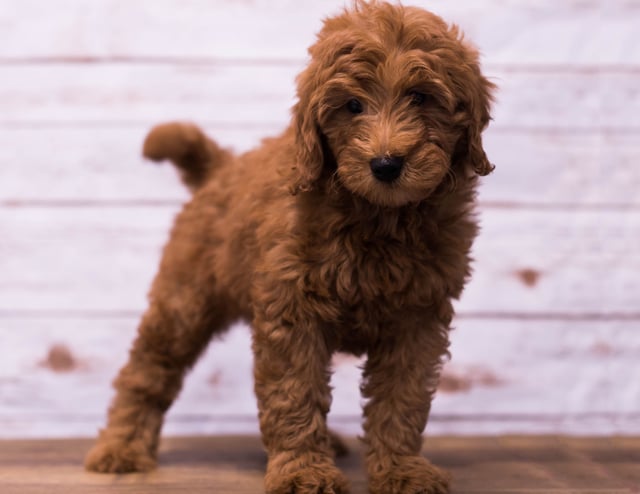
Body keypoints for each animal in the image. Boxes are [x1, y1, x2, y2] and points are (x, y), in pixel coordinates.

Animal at [85, 1, 496, 492]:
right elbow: (295, 392)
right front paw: (303, 470)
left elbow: (403, 398)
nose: (385, 164)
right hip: (185, 299)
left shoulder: (417, 318)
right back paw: (122, 447)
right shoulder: (293, 311)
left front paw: (401, 469)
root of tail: (220, 168)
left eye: (420, 97)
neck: (378, 216)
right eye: (352, 106)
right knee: (147, 370)